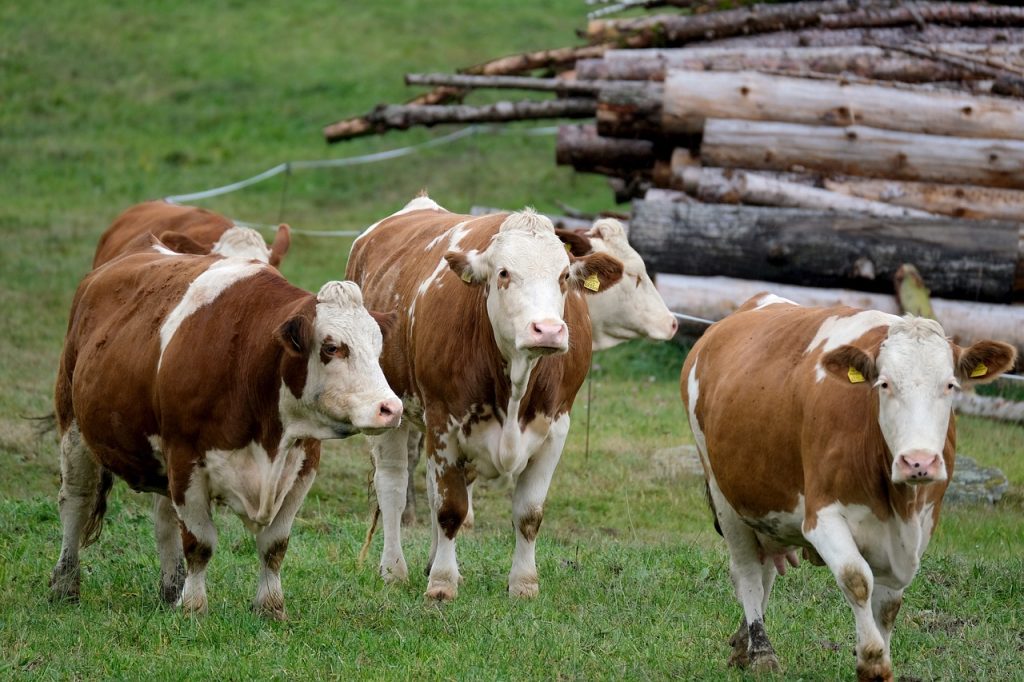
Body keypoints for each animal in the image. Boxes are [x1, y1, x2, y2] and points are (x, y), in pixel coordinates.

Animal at [51, 236, 402, 618]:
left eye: (379, 347)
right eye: (332, 347)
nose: (390, 408)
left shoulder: (303, 465)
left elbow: (274, 545)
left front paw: (270, 606)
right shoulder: (185, 460)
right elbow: (199, 542)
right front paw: (194, 607)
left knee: (163, 520)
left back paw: (171, 589)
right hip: (74, 427)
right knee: (76, 501)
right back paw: (65, 585)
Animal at [346, 194, 624, 600]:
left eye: (563, 276)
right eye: (504, 273)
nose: (548, 330)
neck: (516, 383)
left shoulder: (557, 427)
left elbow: (528, 513)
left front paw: (523, 583)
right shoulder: (443, 422)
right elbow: (450, 508)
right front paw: (442, 584)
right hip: (389, 411)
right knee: (393, 486)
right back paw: (394, 570)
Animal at [680, 294, 1017, 681]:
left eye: (949, 384)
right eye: (884, 384)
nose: (918, 462)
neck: (897, 504)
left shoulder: (920, 527)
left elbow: (889, 604)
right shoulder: (822, 517)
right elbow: (857, 579)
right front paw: (872, 660)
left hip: (767, 503)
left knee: (766, 571)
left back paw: (742, 645)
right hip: (725, 496)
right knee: (747, 571)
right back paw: (761, 651)